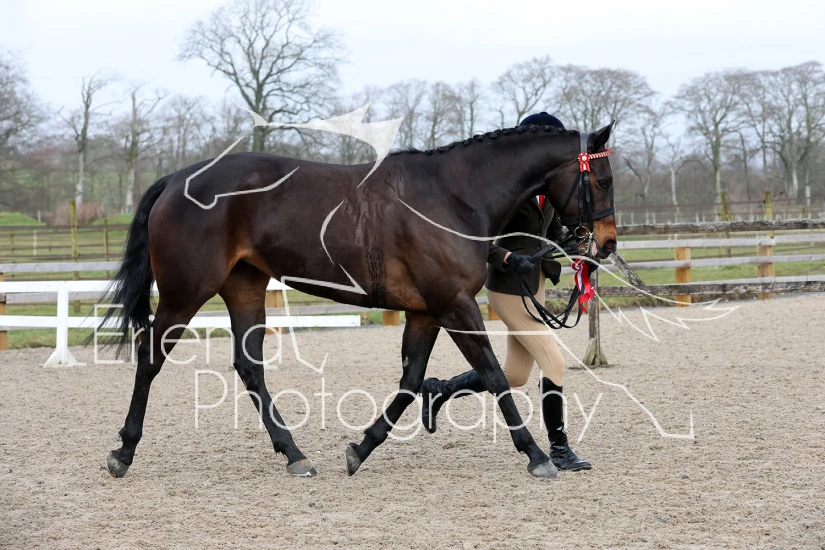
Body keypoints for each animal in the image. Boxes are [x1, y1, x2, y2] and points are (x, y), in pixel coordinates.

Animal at [101, 121, 617, 480]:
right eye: (603, 180)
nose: (607, 243)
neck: (454, 195)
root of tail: (177, 179)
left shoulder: (425, 311)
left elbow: (412, 382)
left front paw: (360, 449)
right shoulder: (454, 305)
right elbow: (492, 375)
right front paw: (536, 455)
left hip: (244, 288)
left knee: (249, 368)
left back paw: (295, 455)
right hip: (185, 293)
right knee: (150, 358)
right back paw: (123, 451)